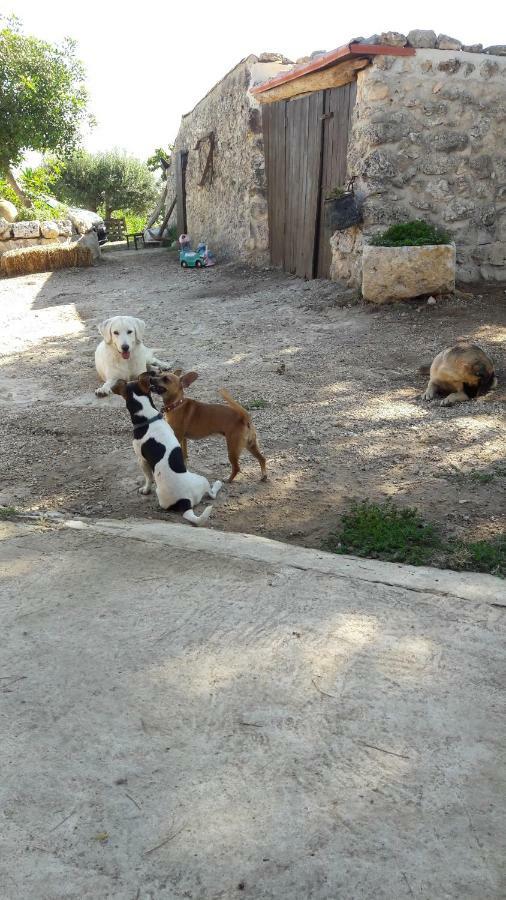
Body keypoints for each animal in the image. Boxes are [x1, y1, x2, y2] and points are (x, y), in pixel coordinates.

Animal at [112, 372, 221, 528]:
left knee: (211, 493)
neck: (148, 417)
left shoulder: (141, 460)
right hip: (201, 481)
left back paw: (217, 484)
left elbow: (148, 479)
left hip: (168, 495)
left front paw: (145, 490)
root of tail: (186, 502)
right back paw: (217, 485)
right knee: (211, 494)